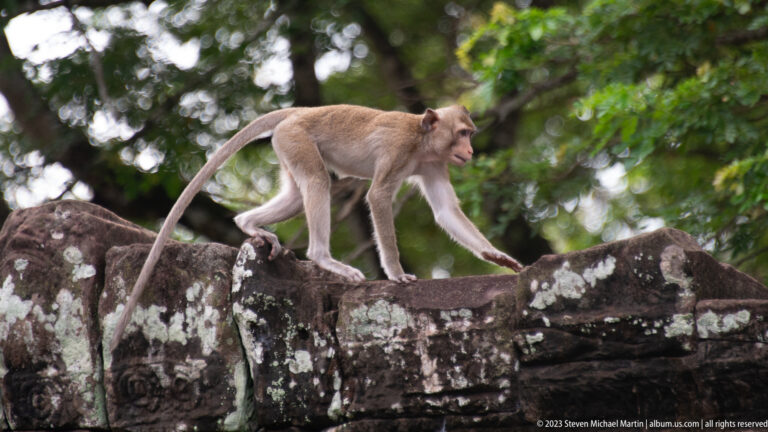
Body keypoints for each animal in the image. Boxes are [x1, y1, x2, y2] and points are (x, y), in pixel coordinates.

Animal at [109, 104, 523, 351]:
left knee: (298, 192)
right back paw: (324, 259)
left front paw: (498, 257)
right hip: (296, 138)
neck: (423, 141)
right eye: (464, 133)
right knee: (317, 182)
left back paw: (249, 224)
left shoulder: (435, 163)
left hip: (286, 145)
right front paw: (396, 273)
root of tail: (299, 110)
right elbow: (378, 198)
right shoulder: (398, 151)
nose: (470, 152)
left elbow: (446, 212)